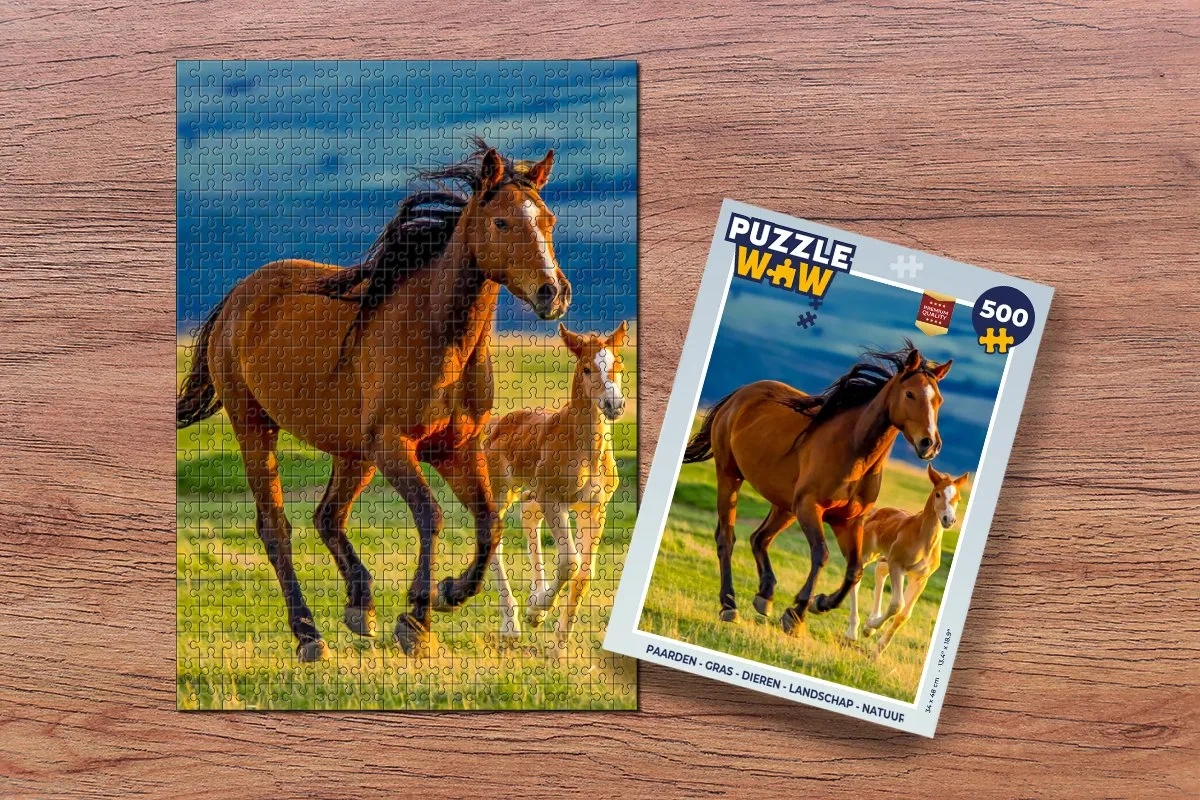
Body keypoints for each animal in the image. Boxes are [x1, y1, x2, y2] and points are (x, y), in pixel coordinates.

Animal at [175, 141, 571, 660]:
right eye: (502, 222)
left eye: (548, 220)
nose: (553, 293)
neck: (439, 337)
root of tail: (238, 298)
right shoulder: (394, 445)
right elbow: (430, 516)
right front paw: (416, 619)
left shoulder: (456, 449)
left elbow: (489, 524)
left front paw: (449, 592)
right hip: (255, 427)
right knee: (276, 527)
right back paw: (308, 634)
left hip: (353, 453)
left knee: (328, 517)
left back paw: (360, 606)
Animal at [485, 322, 628, 657]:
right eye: (587, 368)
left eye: (618, 366)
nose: (614, 405)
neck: (586, 450)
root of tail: (496, 424)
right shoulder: (554, 500)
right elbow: (569, 562)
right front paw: (537, 610)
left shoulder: (594, 509)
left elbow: (584, 574)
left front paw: (559, 650)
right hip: (502, 492)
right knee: (495, 540)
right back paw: (512, 625)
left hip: (532, 492)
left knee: (527, 512)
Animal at [681, 342, 952, 636]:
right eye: (910, 393)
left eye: (938, 401)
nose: (930, 444)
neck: (853, 451)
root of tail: (740, 395)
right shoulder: (810, 508)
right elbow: (821, 555)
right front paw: (796, 613)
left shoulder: (849, 521)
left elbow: (854, 570)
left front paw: (819, 603)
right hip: (730, 476)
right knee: (726, 538)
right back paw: (729, 606)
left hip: (785, 506)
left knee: (759, 538)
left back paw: (765, 596)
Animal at [853, 464, 969, 653]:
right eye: (938, 494)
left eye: (958, 499)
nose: (948, 520)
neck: (924, 541)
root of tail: (877, 511)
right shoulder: (897, 566)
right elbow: (897, 604)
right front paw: (871, 625)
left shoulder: (920, 578)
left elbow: (904, 614)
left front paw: (877, 650)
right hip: (868, 553)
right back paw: (855, 629)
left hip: (885, 557)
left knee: (880, 570)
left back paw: (869, 626)